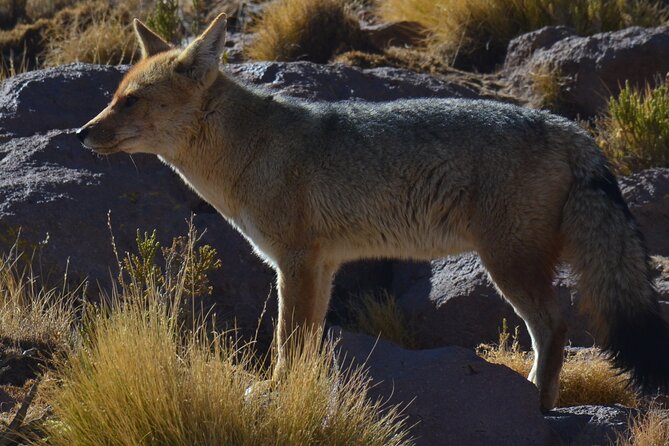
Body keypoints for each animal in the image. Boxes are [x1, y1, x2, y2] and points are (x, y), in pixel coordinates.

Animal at [74, 13, 668, 412]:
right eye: (113, 96)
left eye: (130, 101)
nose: (81, 133)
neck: (250, 147)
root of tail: (573, 132)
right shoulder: (321, 265)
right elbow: (308, 341)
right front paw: (296, 390)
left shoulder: (294, 262)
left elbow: (288, 341)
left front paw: (275, 392)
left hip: (508, 266)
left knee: (554, 328)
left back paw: (537, 405)